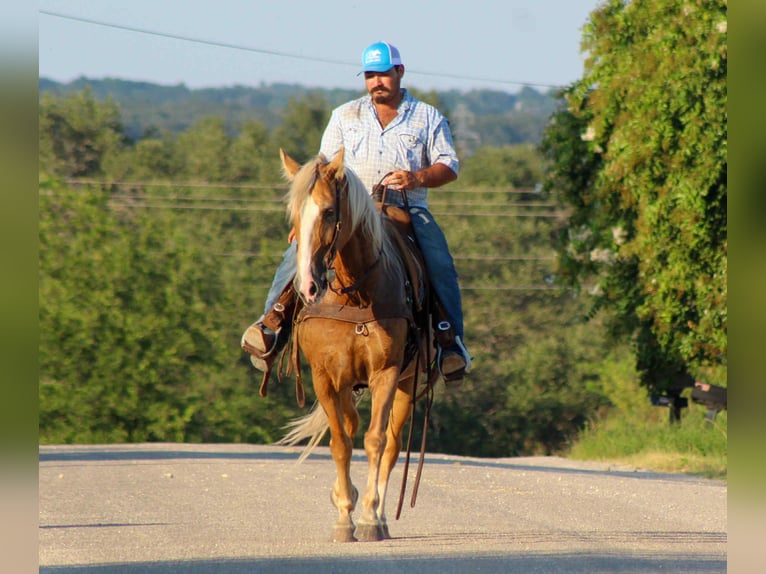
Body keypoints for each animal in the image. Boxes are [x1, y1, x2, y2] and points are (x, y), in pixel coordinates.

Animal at [276, 148, 436, 542]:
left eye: (329, 211)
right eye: (294, 214)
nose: (308, 286)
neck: (356, 294)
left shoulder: (386, 374)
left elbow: (375, 441)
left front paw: (366, 519)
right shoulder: (325, 376)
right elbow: (340, 442)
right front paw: (343, 514)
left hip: (406, 384)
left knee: (392, 445)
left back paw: (379, 514)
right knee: (349, 427)